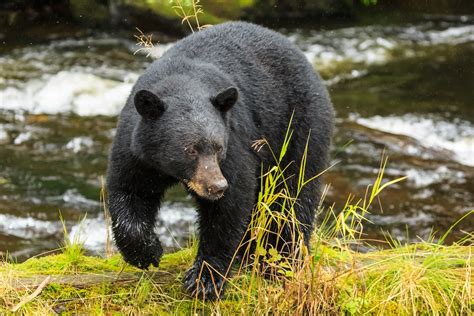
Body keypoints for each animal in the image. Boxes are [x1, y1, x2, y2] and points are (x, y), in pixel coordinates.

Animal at [107, 21, 334, 298]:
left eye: (218, 148)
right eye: (190, 150)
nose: (216, 186)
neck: (183, 83)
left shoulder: (236, 140)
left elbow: (230, 206)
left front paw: (204, 279)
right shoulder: (136, 149)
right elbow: (129, 191)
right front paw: (147, 252)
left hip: (299, 127)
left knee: (294, 194)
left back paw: (282, 261)